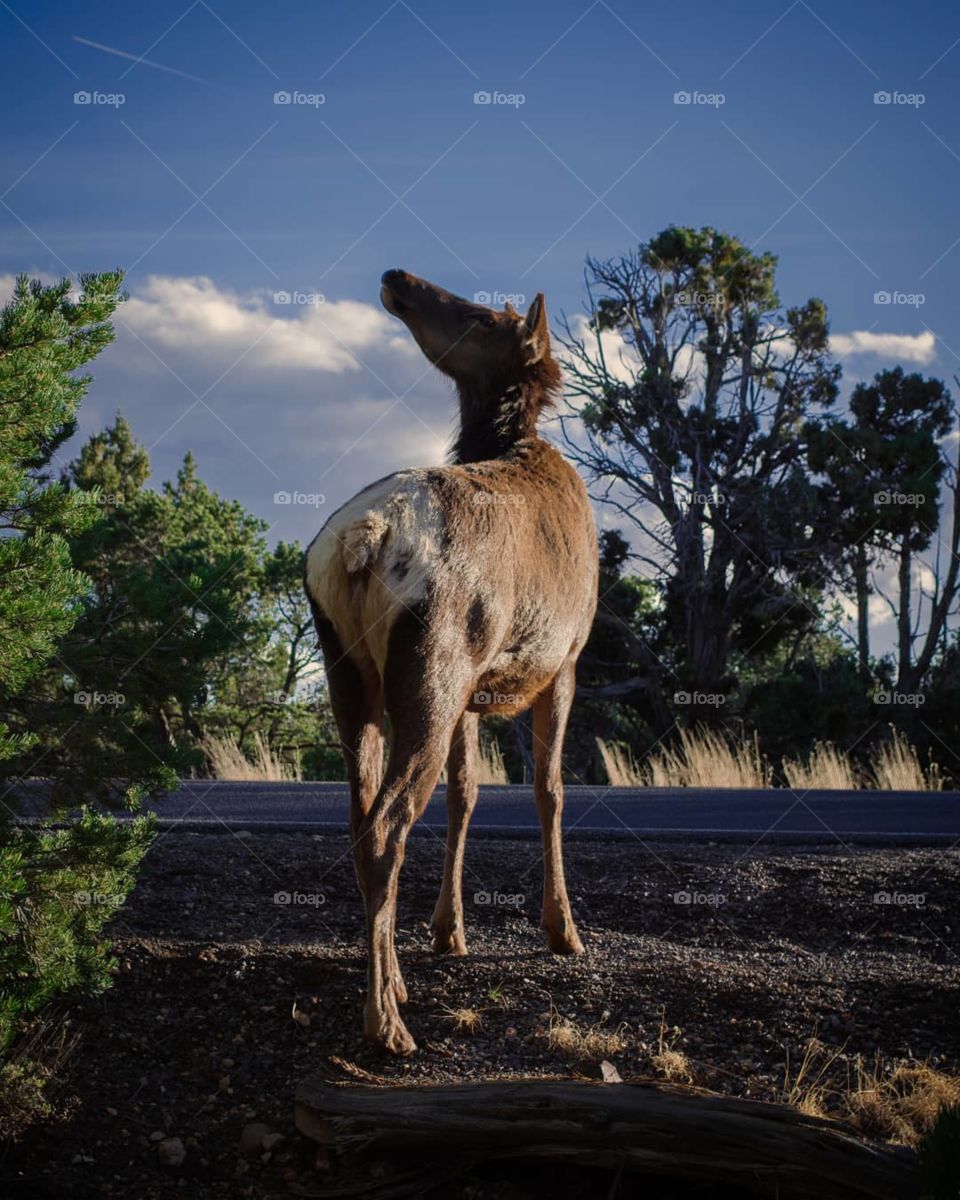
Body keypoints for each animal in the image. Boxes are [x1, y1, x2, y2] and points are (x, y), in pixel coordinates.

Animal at [303, 270, 595, 1051]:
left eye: (481, 316)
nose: (397, 277)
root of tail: (365, 539)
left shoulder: (478, 688)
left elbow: (466, 796)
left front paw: (449, 930)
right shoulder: (566, 659)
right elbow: (550, 790)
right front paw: (564, 930)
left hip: (355, 670)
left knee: (360, 816)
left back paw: (395, 982)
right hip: (433, 659)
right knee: (385, 826)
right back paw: (387, 1022)